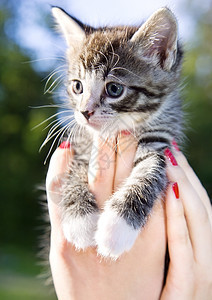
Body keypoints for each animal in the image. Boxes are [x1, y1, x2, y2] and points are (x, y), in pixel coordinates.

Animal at [50, 7, 183, 260]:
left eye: (114, 89)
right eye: (77, 86)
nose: (84, 112)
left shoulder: (159, 141)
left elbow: (149, 172)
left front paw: (116, 227)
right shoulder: (82, 147)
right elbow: (74, 172)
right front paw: (80, 221)